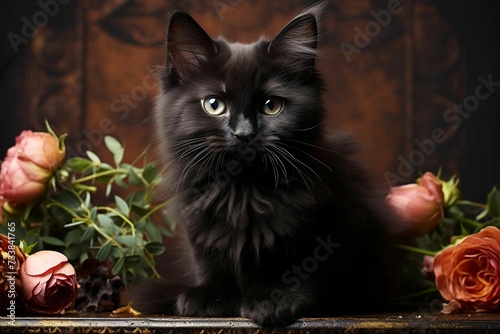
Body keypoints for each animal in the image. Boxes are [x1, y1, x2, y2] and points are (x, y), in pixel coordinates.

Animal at [135, 3, 404, 328]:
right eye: (214, 105)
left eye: (271, 106)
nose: (243, 133)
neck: (243, 192)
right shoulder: (197, 221)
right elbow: (210, 261)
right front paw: (210, 296)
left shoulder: (332, 229)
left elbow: (300, 267)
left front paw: (272, 299)